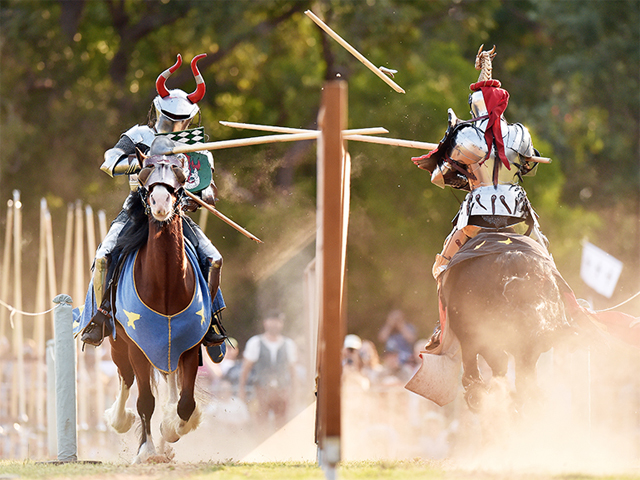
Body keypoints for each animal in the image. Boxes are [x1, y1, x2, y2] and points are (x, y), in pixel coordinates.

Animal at [103, 141, 208, 464]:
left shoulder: (190, 345)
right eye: (146, 175)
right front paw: (146, 450)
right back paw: (118, 419)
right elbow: (145, 401)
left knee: (170, 381)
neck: (165, 286)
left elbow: (185, 403)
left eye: (178, 178)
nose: (161, 202)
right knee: (125, 378)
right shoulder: (138, 346)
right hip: (118, 344)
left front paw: (172, 428)